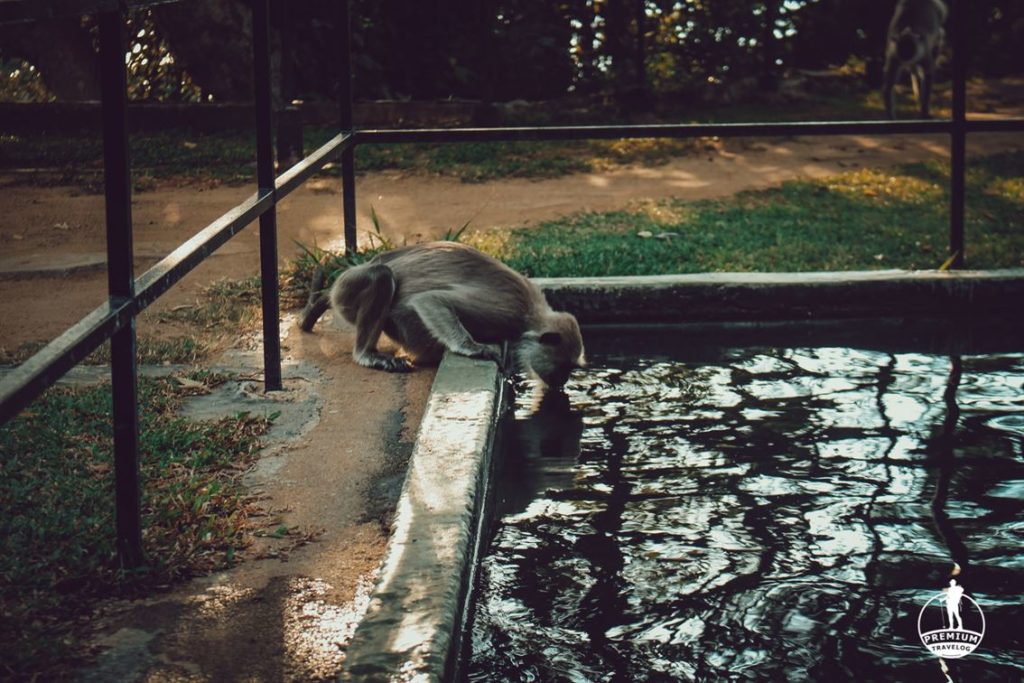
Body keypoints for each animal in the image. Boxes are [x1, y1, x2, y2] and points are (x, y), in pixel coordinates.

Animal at [327, 242, 585, 387]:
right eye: (564, 366)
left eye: (570, 369)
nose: (563, 382)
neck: (532, 315)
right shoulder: (507, 311)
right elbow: (429, 300)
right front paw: (474, 348)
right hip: (347, 292)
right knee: (381, 275)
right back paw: (366, 354)